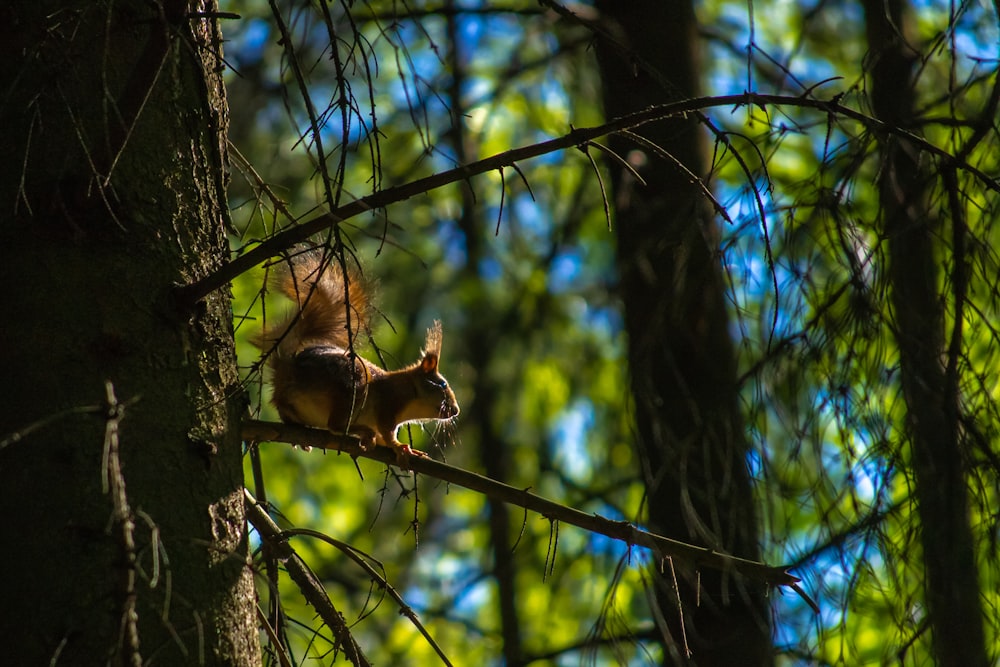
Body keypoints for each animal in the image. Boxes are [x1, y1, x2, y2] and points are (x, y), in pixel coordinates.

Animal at [256, 250, 462, 460]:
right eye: (443, 384)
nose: (455, 410)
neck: (407, 390)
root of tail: (286, 370)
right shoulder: (388, 404)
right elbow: (387, 432)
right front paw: (399, 446)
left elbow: (382, 437)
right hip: (354, 386)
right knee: (335, 425)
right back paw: (362, 431)